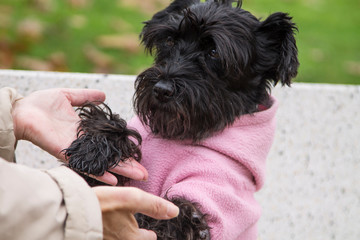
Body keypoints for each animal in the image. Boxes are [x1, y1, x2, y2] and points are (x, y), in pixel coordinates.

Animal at [64, 0, 298, 239]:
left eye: (214, 51)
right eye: (170, 40)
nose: (162, 89)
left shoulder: (211, 198)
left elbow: (177, 216)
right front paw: (94, 148)